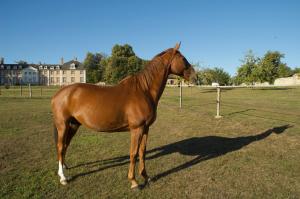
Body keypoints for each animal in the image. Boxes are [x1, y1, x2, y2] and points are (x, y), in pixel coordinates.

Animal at [51, 42, 197, 189]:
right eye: (183, 58)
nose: (195, 77)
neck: (144, 90)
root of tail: (59, 93)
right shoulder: (136, 129)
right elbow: (133, 153)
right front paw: (134, 182)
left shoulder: (146, 129)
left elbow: (142, 152)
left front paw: (146, 177)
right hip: (63, 125)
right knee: (60, 147)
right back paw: (63, 177)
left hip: (73, 125)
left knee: (65, 146)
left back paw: (65, 167)